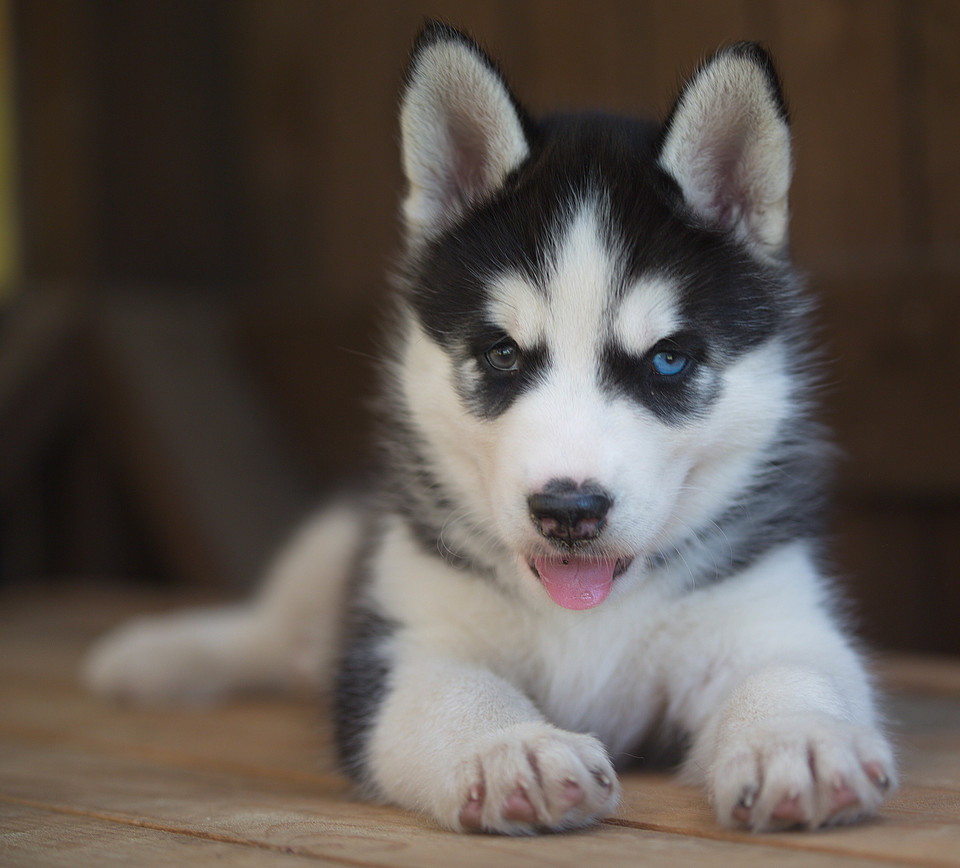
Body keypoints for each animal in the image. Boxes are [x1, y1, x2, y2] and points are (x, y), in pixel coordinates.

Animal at [86, 22, 896, 836]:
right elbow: (456, 693)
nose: (568, 511)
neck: (587, 617)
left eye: (668, 359)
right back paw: (164, 654)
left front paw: (799, 738)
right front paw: (511, 748)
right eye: (502, 353)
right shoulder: (407, 640)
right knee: (269, 626)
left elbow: (793, 671)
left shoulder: (771, 610)